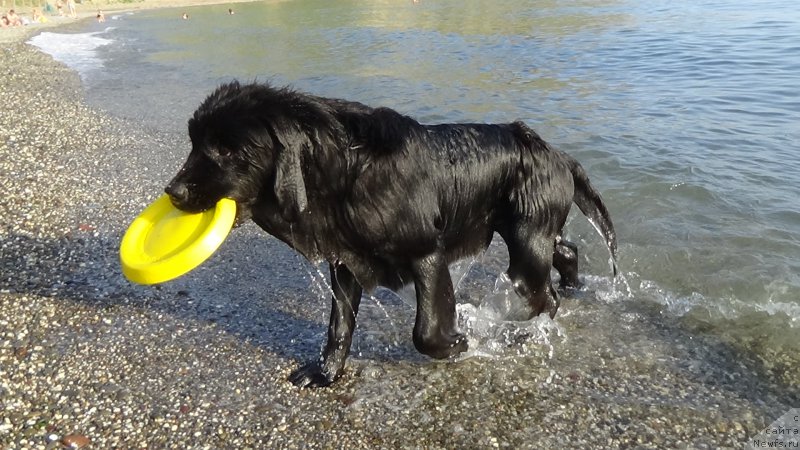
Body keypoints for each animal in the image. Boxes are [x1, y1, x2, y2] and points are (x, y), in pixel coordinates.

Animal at [164, 82, 620, 388]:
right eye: (195, 143)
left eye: (227, 150)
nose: (174, 192)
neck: (345, 170)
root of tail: (558, 154)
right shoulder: (346, 261)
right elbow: (339, 326)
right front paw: (325, 373)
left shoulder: (426, 253)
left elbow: (426, 332)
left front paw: (460, 343)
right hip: (527, 233)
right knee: (565, 251)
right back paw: (573, 287)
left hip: (526, 242)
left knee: (546, 293)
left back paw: (529, 330)